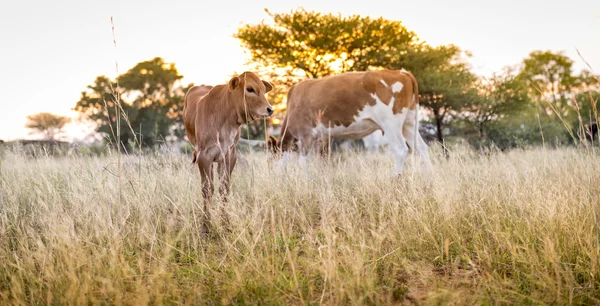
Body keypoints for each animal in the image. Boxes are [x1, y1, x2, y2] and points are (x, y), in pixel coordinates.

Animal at [183, 71, 274, 227]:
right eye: (250, 89)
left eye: (263, 89)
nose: (270, 109)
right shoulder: (204, 156)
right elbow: (207, 189)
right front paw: (206, 223)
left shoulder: (230, 154)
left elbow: (224, 188)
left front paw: (225, 221)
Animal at [274, 68, 434, 176]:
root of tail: (401, 72)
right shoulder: (322, 138)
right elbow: (322, 160)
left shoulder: (305, 135)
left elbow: (302, 162)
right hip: (409, 123)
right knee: (421, 148)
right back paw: (429, 178)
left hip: (391, 124)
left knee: (400, 149)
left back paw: (394, 178)